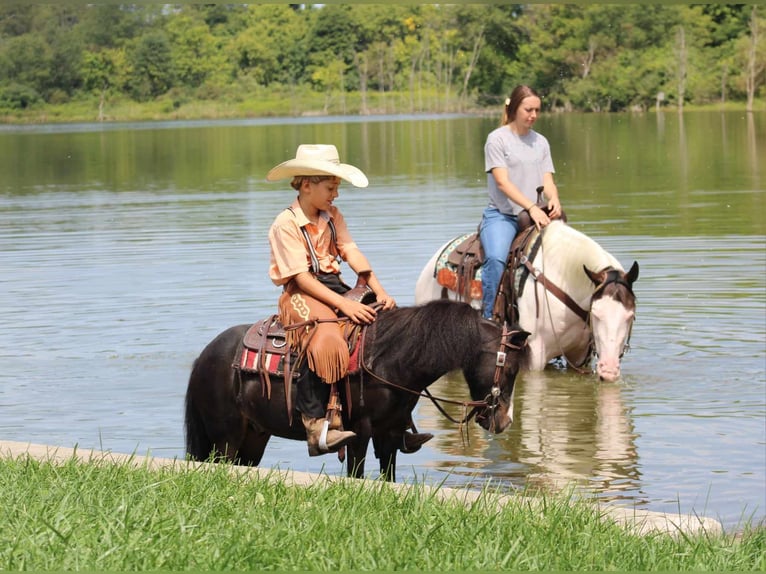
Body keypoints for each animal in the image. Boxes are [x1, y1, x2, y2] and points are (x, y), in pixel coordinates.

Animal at [186, 300, 532, 484]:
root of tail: (204, 356)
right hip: (225, 438)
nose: (505, 421)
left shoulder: (390, 433)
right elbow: (357, 474)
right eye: (511, 369)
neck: (390, 360)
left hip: (254, 438)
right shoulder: (359, 432)